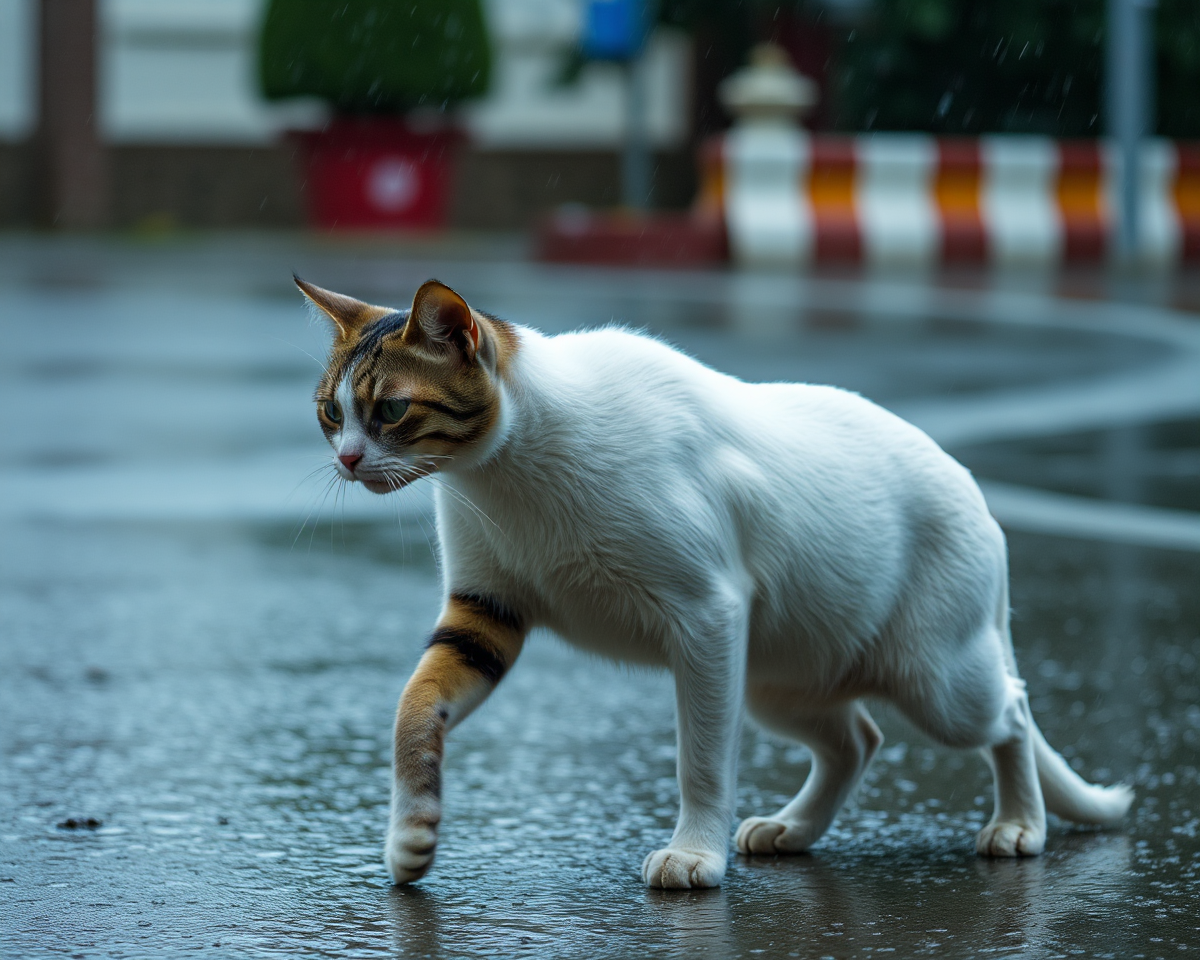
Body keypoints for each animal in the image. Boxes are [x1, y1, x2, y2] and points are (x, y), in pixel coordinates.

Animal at [295, 273, 1128, 888]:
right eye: (330, 415)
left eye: (390, 411)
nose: (346, 461)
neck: (504, 470)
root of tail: (977, 496)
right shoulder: (482, 613)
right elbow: (413, 709)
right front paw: (410, 836)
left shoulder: (706, 617)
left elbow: (698, 757)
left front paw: (696, 851)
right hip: (779, 677)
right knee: (855, 738)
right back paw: (794, 827)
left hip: (935, 678)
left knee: (1011, 711)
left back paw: (1020, 824)